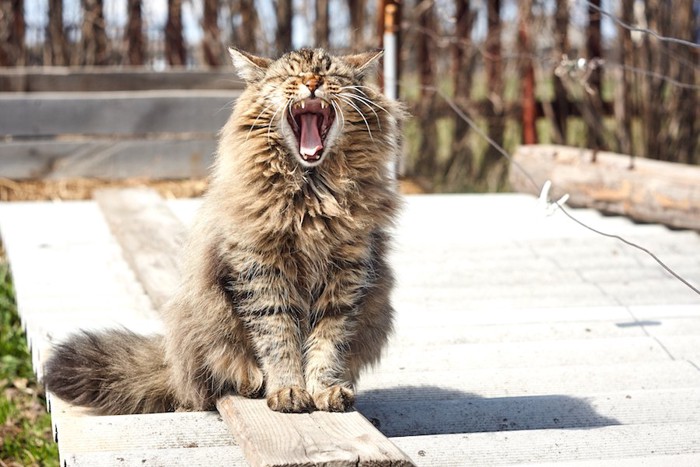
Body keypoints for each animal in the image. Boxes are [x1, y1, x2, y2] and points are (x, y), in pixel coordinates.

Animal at [43, 47, 402, 414]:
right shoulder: (261, 272)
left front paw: (324, 389)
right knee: (212, 376)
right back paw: (250, 380)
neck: (311, 193)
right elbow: (279, 339)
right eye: (289, 77)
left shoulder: (347, 275)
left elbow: (329, 342)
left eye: (331, 75)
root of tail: (170, 362)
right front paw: (288, 389)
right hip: (203, 317)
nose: (312, 82)